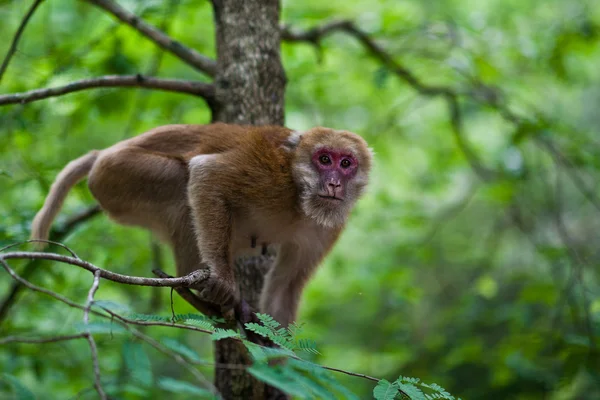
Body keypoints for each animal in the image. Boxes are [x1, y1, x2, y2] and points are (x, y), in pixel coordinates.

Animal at [31, 123, 376, 326]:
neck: (298, 197)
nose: (334, 184)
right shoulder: (271, 179)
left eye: (346, 163)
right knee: (180, 180)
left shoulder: (327, 227)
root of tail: (103, 153)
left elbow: (285, 286)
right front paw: (223, 281)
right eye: (324, 159)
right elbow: (208, 174)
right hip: (117, 175)